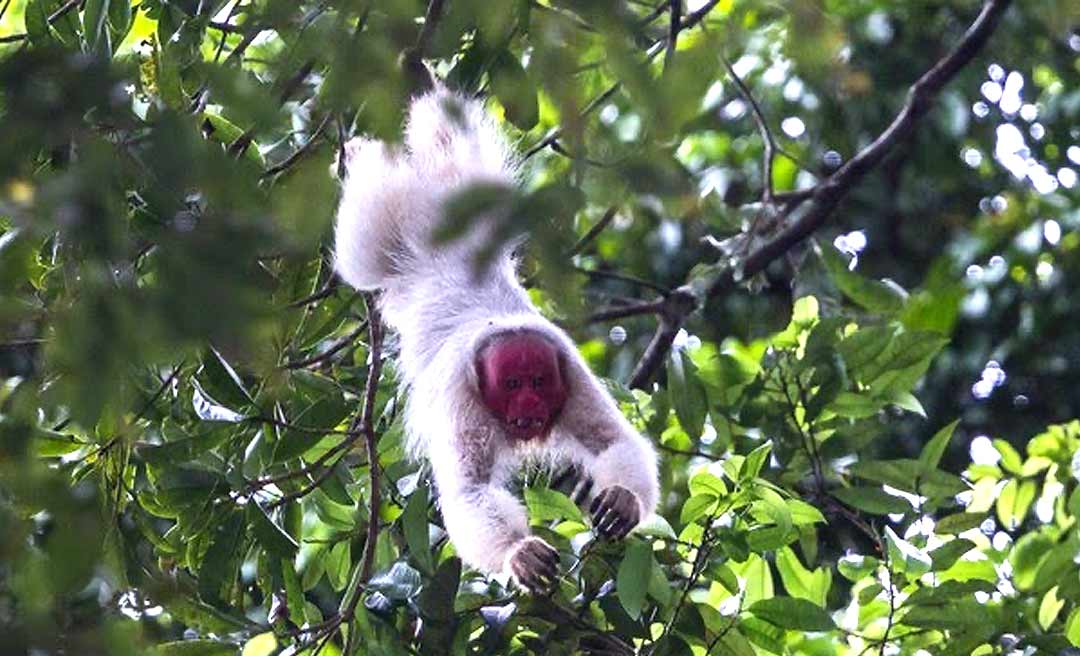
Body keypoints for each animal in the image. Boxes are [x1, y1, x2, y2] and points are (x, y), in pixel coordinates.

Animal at [332, 88, 659, 593]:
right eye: (512, 385)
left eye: (539, 381)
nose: (529, 406)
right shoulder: (462, 399)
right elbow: (472, 491)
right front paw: (516, 552)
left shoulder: (571, 371)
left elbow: (612, 442)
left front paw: (623, 499)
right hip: (380, 225)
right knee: (367, 235)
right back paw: (363, 154)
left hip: (472, 198)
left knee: (449, 143)